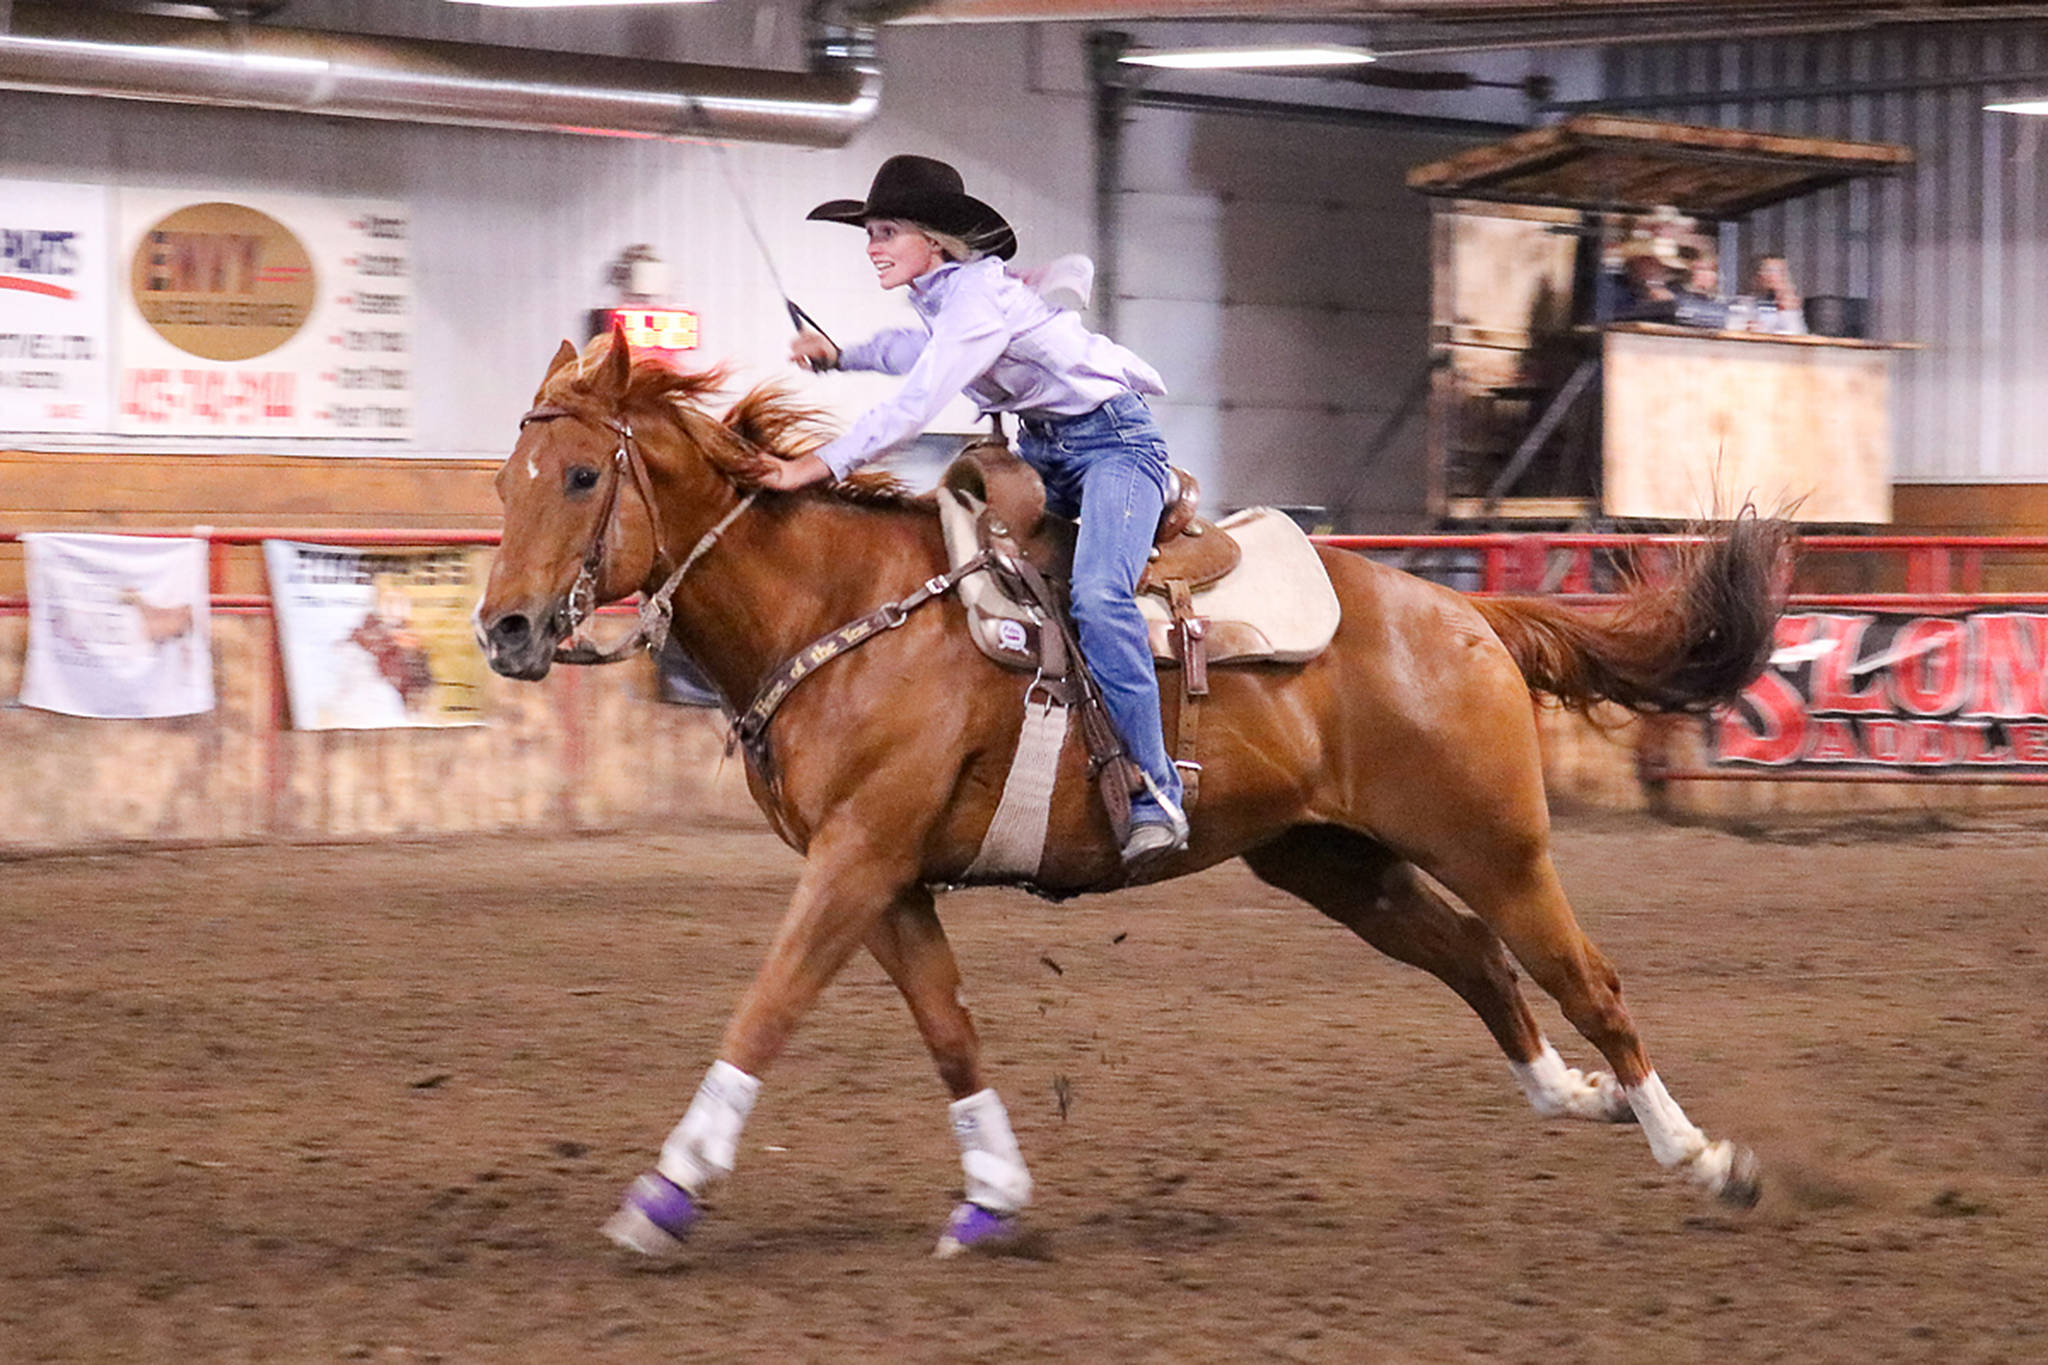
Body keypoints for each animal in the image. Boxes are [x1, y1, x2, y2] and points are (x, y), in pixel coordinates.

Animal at [479, 339, 1794, 1260]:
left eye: (584, 473)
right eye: (504, 482)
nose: (504, 630)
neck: (839, 608)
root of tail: (1465, 609)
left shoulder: (854, 860)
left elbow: (765, 1009)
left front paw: (665, 1192)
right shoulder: (884, 875)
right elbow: (948, 1028)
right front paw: (991, 1197)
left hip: (1495, 843)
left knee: (1586, 982)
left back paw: (1702, 1157)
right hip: (1330, 859)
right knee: (1471, 958)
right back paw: (1577, 1101)